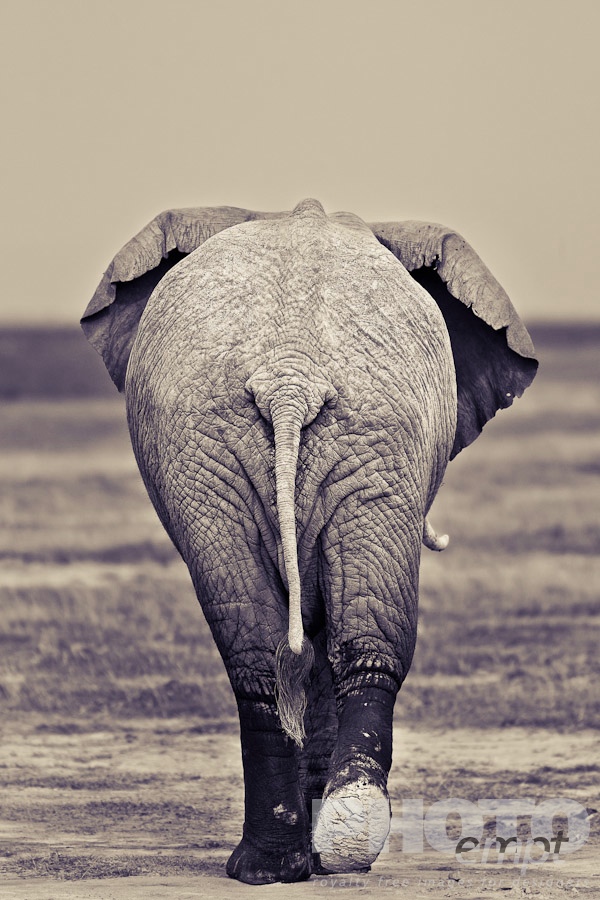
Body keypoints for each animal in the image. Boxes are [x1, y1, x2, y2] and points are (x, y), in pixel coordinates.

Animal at [81, 199, 537, 884]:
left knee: (272, 647)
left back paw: (302, 856)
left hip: (304, 445)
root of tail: (290, 379)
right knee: (315, 641)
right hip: (286, 447)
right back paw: (315, 853)